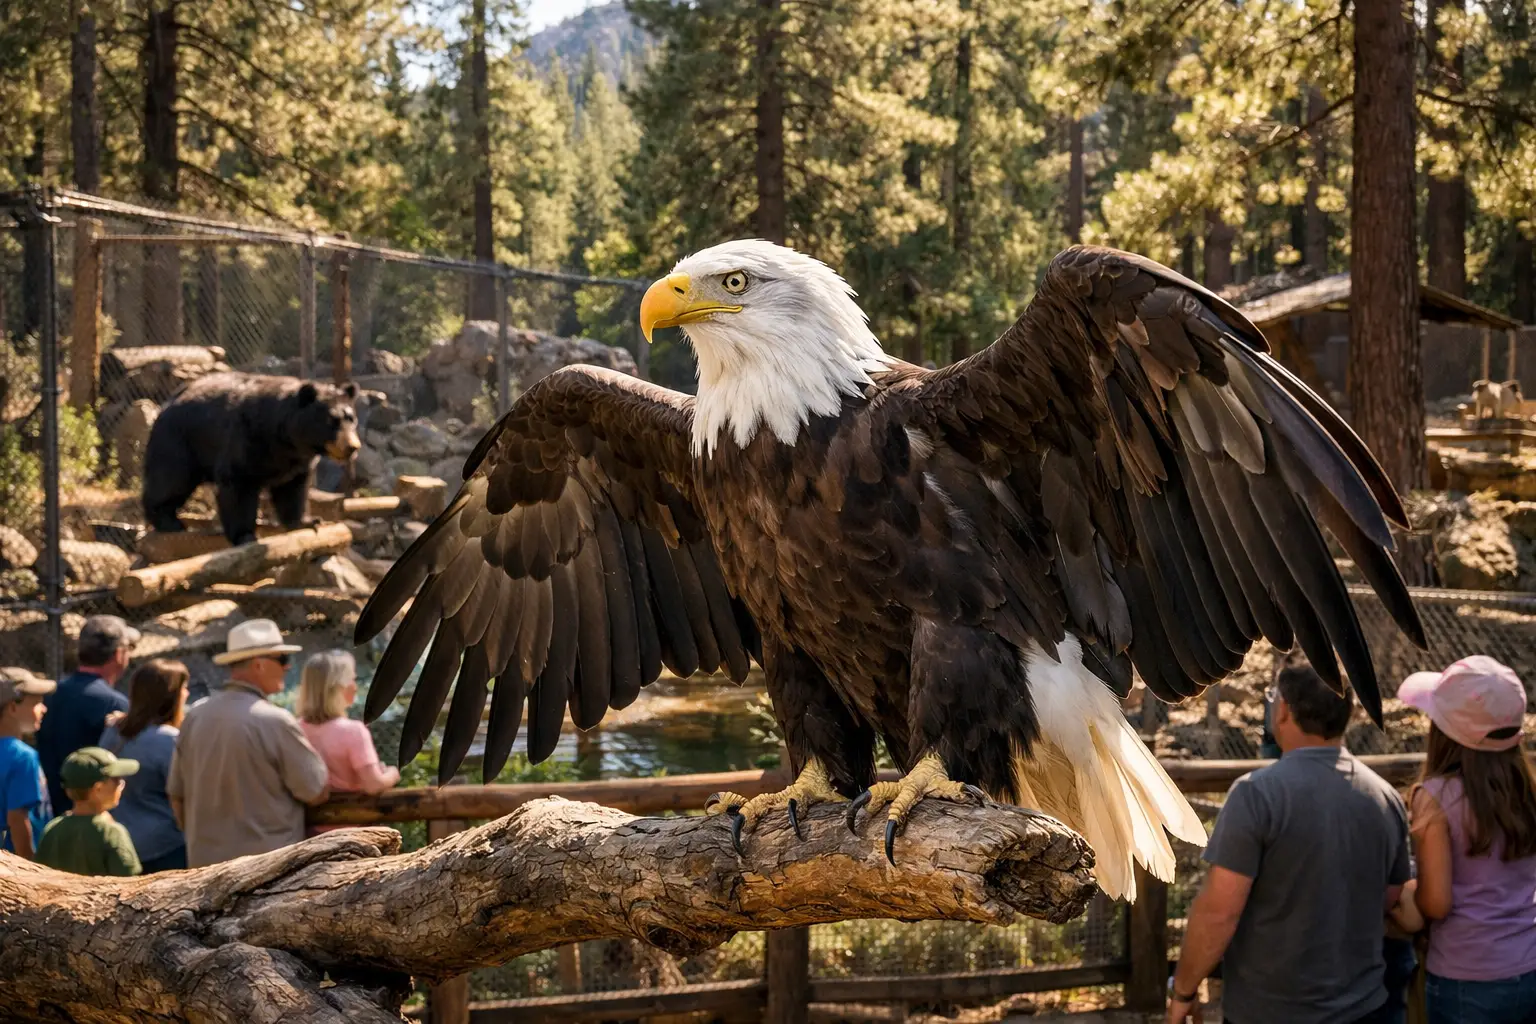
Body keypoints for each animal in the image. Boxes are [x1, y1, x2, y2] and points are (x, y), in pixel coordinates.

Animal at [142, 372, 362, 545]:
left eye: (351, 419)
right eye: (331, 421)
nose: (352, 447)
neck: (286, 441)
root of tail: (167, 402)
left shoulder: (296, 461)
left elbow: (292, 488)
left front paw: (307, 521)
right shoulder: (247, 438)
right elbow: (238, 483)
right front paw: (245, 535)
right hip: (180, 439)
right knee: (172, 478)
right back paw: (168, 521)